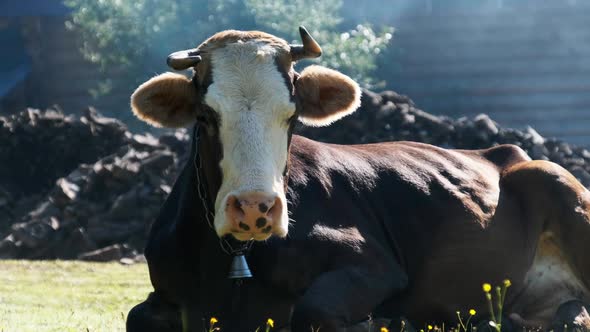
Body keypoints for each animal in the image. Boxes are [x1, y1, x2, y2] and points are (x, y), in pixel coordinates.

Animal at [126, 27, 590, 330]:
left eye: (292, 115)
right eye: (205, 116)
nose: (255, 207)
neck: (236, 262)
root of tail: (507, 153)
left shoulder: (375, 265)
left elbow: (313, 309)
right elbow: (136, 317)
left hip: (561, 186)